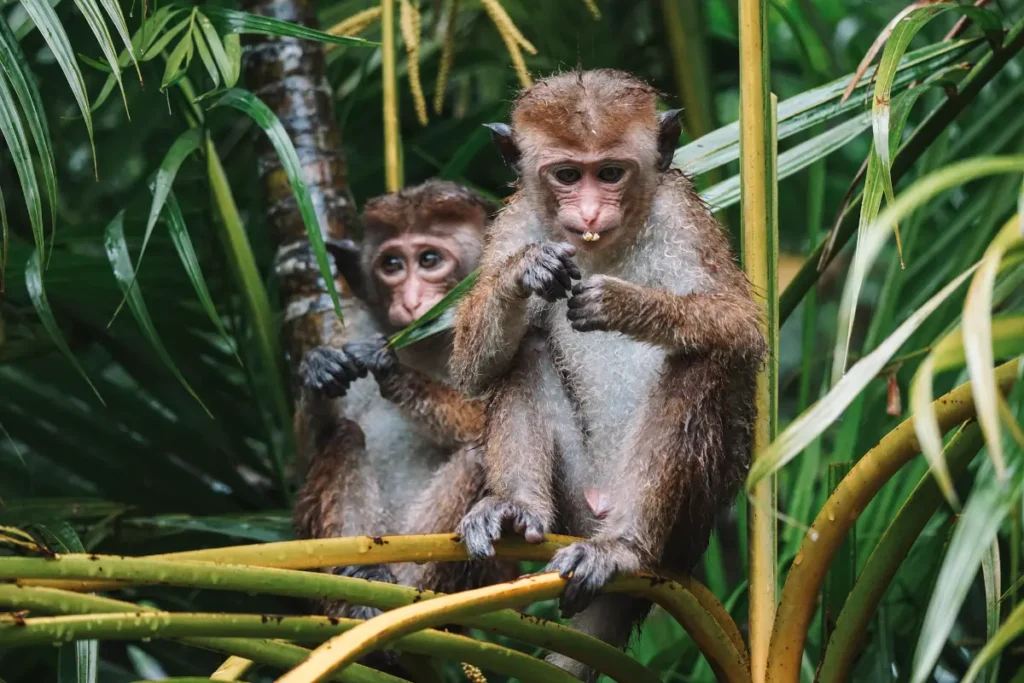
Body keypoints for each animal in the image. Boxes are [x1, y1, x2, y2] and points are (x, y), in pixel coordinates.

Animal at [292, 181, 516, 626]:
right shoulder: (352, 325)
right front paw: (318, 368)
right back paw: (357, 588)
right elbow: (302, 456)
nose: (410, 301)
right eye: (392, 263)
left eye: (429, 260)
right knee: (344, 435)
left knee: (477, 457)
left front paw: (390, 367)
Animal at [452, 68, 765, 679]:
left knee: (697, 362)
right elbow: (472, 368)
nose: (592, 214)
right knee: (526, 347)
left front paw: (624, 304)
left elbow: (742, 331)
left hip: (686, 524)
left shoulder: (681, 216)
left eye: (611, 173)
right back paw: (516, 508)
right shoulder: (517, 220)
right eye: (569, 175)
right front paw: (524, 273)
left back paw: (623, 548)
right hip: (574, 503)